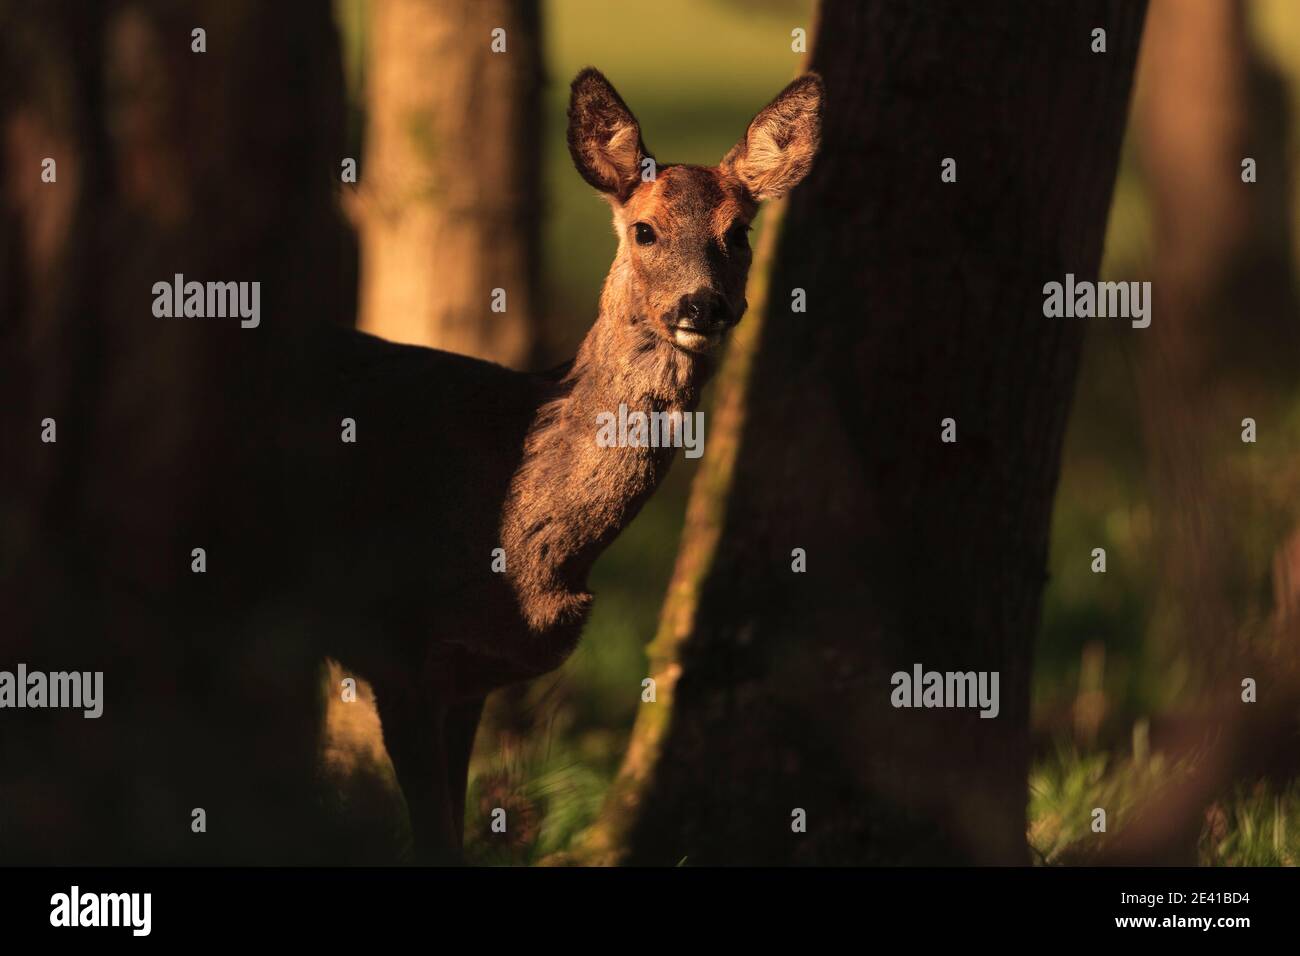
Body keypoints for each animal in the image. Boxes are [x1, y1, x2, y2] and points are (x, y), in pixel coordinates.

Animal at [292, 67, 823, 863]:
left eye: (740, 232)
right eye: (644, 229)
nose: (703, 305)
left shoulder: (468, 672)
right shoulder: (399, 644)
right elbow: (433, 832)